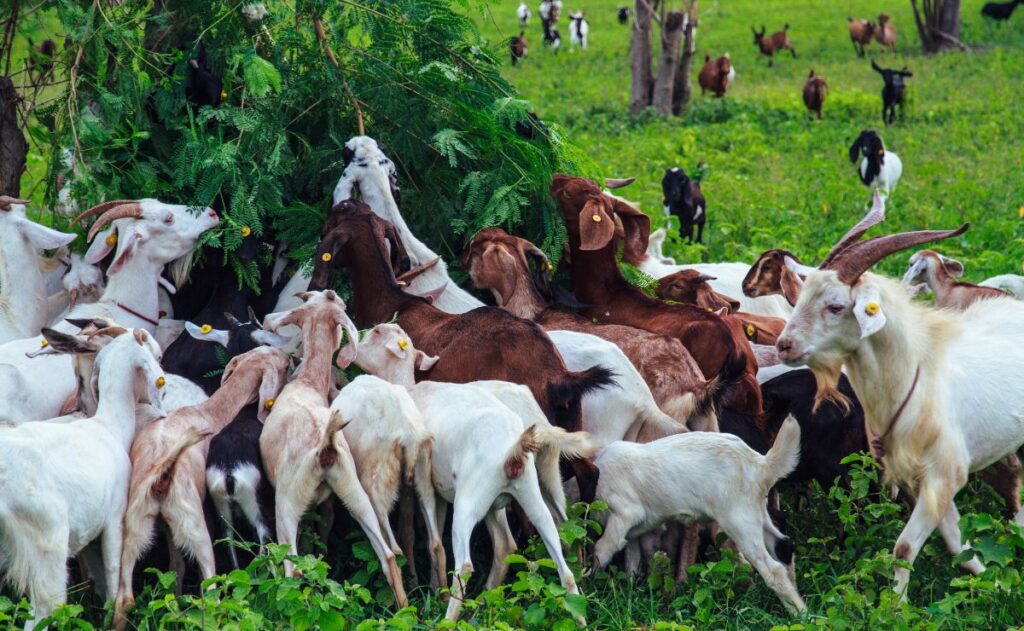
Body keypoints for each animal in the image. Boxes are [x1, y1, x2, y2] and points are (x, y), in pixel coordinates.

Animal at [0, 327, 165, 626]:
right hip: (48, 543)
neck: (109, 426)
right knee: (44, 611)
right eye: (157, 355)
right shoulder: (115, 518)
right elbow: (113, 578)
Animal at [258, 290, 405, 606]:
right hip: (352, 487)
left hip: (286, 501)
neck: (307, 384)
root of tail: (325, 446)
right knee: (388, 555)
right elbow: (324, 528)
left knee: (292, 569)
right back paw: (405, 608)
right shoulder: (325, 501)